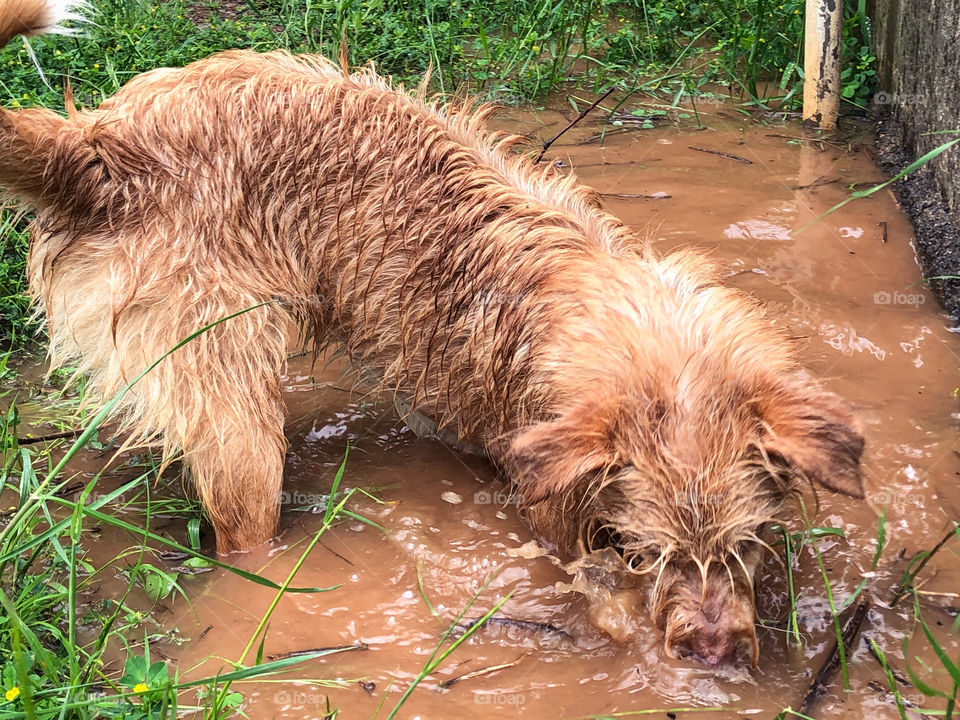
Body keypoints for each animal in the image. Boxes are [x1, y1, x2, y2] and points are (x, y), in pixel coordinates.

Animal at [0, 0, 868, 668]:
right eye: (641, 551)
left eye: (750, 544)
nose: (712, 654)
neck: (599, 293)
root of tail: (98, 144)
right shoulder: (548, 505)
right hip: (234, 413)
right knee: (243, 531)